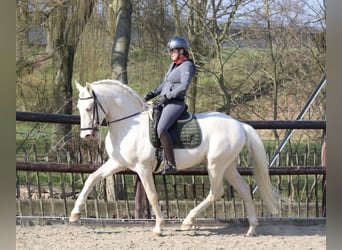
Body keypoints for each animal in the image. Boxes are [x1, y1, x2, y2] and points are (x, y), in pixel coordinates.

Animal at [70, 79, 280, 236]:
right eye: (79, 107)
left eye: (89, 107)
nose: (86, 135)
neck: (129, 124)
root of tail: (239, 124)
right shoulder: (117, 163)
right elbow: (91, 178)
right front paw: (75, 214)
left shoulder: (143, 168)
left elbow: (152, 195)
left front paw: (158, 227)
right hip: (227, 166)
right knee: (244, 189)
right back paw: (251, 229)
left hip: (215, 165)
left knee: (216, 192)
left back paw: (188, 221)